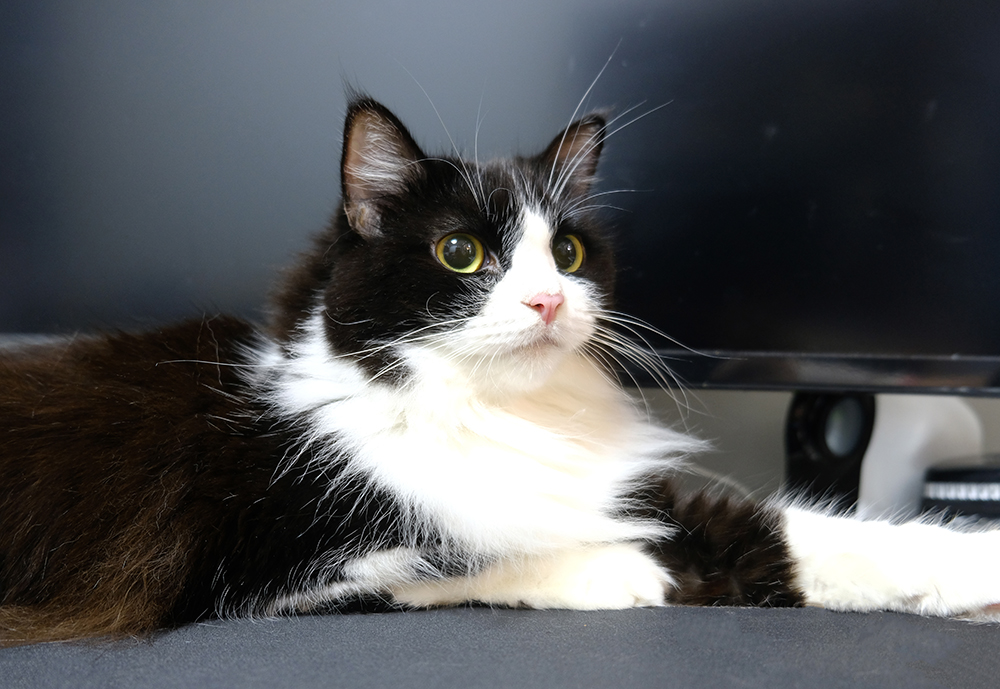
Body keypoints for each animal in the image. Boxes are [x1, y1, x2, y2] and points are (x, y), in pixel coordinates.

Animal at [1, 94, 1000, 644]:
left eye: (566, 251)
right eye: (460, 252)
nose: (549, 302)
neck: (487, 411)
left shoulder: (634, 492)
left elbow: (809, 534)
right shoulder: (266, 572)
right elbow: (460, 562)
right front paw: (625, 572)